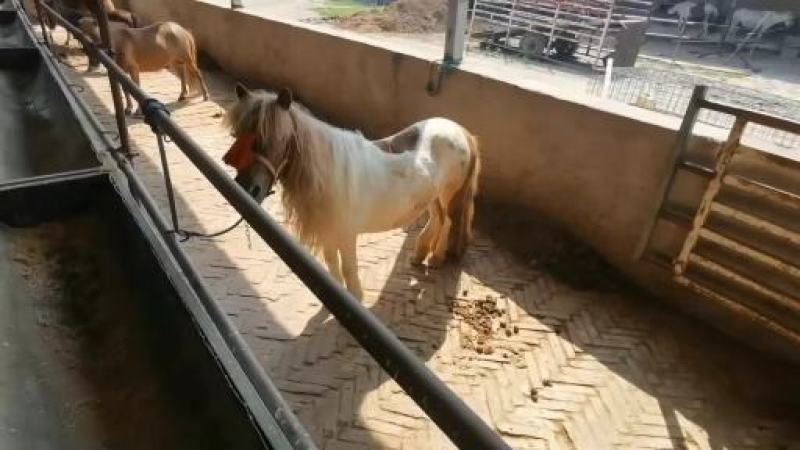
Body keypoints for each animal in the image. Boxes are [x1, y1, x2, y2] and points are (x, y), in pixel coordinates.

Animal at [79, 18, 209, 115]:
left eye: (92, 34)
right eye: (81, 36)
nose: (91, 66)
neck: (119, 42)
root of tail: (183, 30)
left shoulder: (133, 69)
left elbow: (136, 88)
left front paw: (138, 111)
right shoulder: (122, 71)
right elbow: (126, 89)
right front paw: (128, 109)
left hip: (187, 59)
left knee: (197, 74)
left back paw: (205, 95)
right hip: (175, 61)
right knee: (182, 75)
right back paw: (182, 95)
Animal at [223, 85, 481, 299]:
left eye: (276, 138)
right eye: (236, 136)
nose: (247, 189)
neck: (327, 173)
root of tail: (460, 130)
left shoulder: (346, 235)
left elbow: (348, 268)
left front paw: (355, 297)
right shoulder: (328, 231)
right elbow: (332, 263)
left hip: (448, 194)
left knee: (448, 221)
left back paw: (436, 258)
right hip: (432, 195)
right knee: (437, 219)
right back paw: (419, 255)